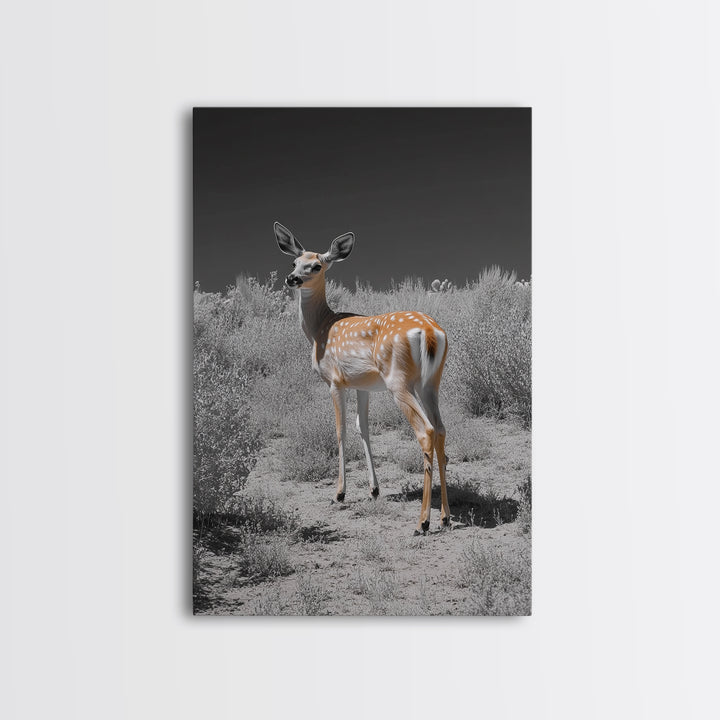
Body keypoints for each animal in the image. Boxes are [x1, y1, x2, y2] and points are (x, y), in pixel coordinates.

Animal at [274, 222, 451, 534]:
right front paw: (374, 490)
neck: (320, 329)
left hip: (398, 381)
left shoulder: (335, 381)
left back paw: (423, 522)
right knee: (441, 429)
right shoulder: (362, 386)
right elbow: (363, 428)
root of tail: (430, 332)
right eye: (294, 262)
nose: (291, 279)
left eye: (317, 265)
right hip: (430, 383)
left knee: (426, 430)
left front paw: (339, 493)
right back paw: (445, 517)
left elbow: (341, 430)